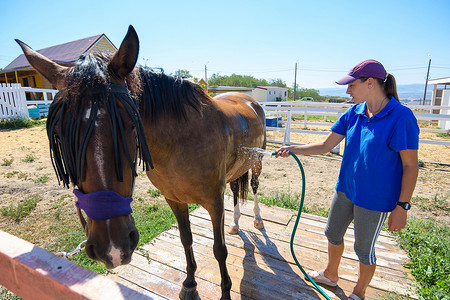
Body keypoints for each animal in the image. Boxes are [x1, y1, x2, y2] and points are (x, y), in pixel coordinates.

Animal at [17, 24, 266, 298]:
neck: (182, 141)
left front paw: (224, 291)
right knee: (236, 190)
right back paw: (235, 224)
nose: (112, 247)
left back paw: (257, 219)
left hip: (257, 162)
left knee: (254, 188)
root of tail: (248, 100)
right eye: (60, 134)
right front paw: (189, 283)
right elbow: (186, 240)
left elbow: (219, 250)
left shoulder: (214, 201)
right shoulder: (174, 199)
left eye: (130, 123)